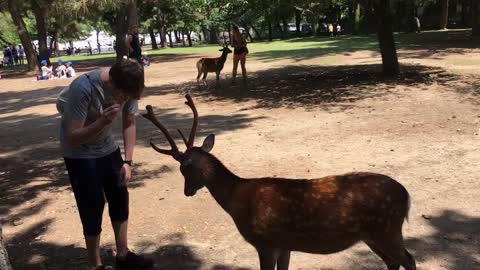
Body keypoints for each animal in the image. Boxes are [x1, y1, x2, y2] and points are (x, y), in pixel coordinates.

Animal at [142, 94, 416, 268]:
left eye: (183, 168)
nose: (187, 191)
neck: (238, 202)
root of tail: (406, 195)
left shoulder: (265, 241)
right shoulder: (285, 245)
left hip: (386, 228)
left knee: (408, 259)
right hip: (373, 233)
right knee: (394, 262)